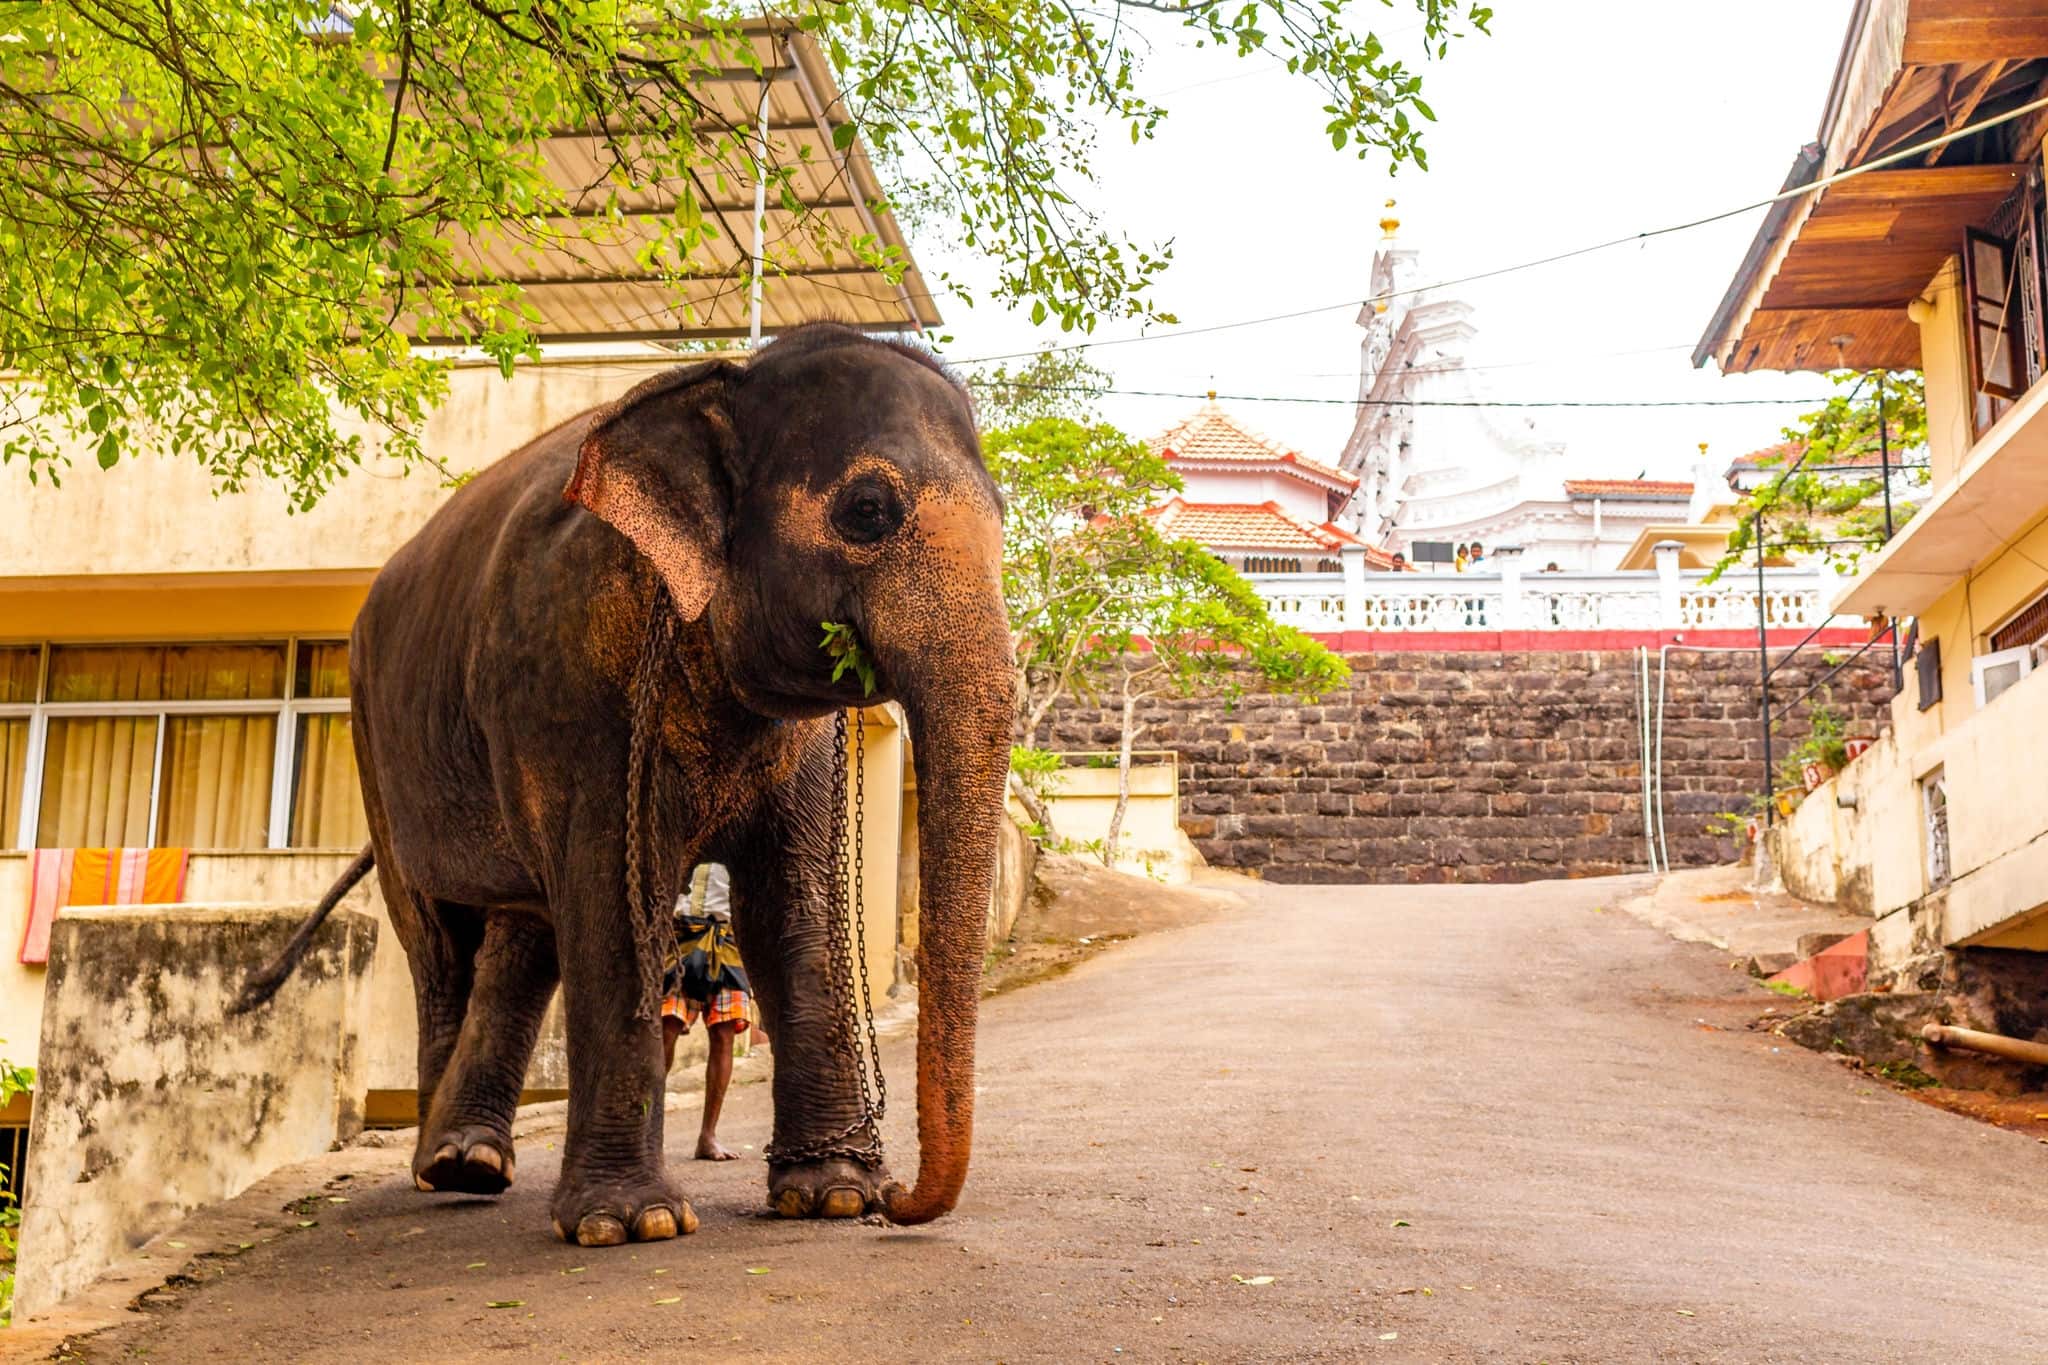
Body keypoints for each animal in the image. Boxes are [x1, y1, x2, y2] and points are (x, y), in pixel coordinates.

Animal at [236, 322, 1012, 1247]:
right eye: (868, 511)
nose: (900, 1197)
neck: (726, 379)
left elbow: (793, 906)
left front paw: (832, 1195)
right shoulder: (570, 677)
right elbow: (616, 899)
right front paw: (631, 1223)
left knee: (524, 933)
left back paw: (473, 1161)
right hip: (374, 748)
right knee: (439, 942)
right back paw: (443, 1169)